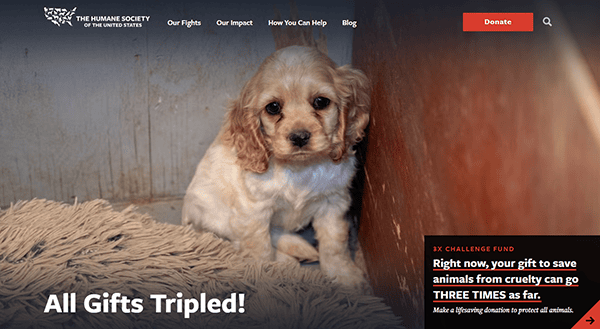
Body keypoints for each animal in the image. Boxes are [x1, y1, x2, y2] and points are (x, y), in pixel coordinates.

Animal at [183, 45, 370, 290]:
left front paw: (344, 275)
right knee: (234, 243)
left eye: (321, 102)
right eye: (273, 107)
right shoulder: (254, 210)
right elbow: (258, 247)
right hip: (216, 217)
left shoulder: (333, 202)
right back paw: (286, 261)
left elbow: (335, 243)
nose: (299, 137)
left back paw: (299, 249)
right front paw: (265, 273)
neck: (299, 167)